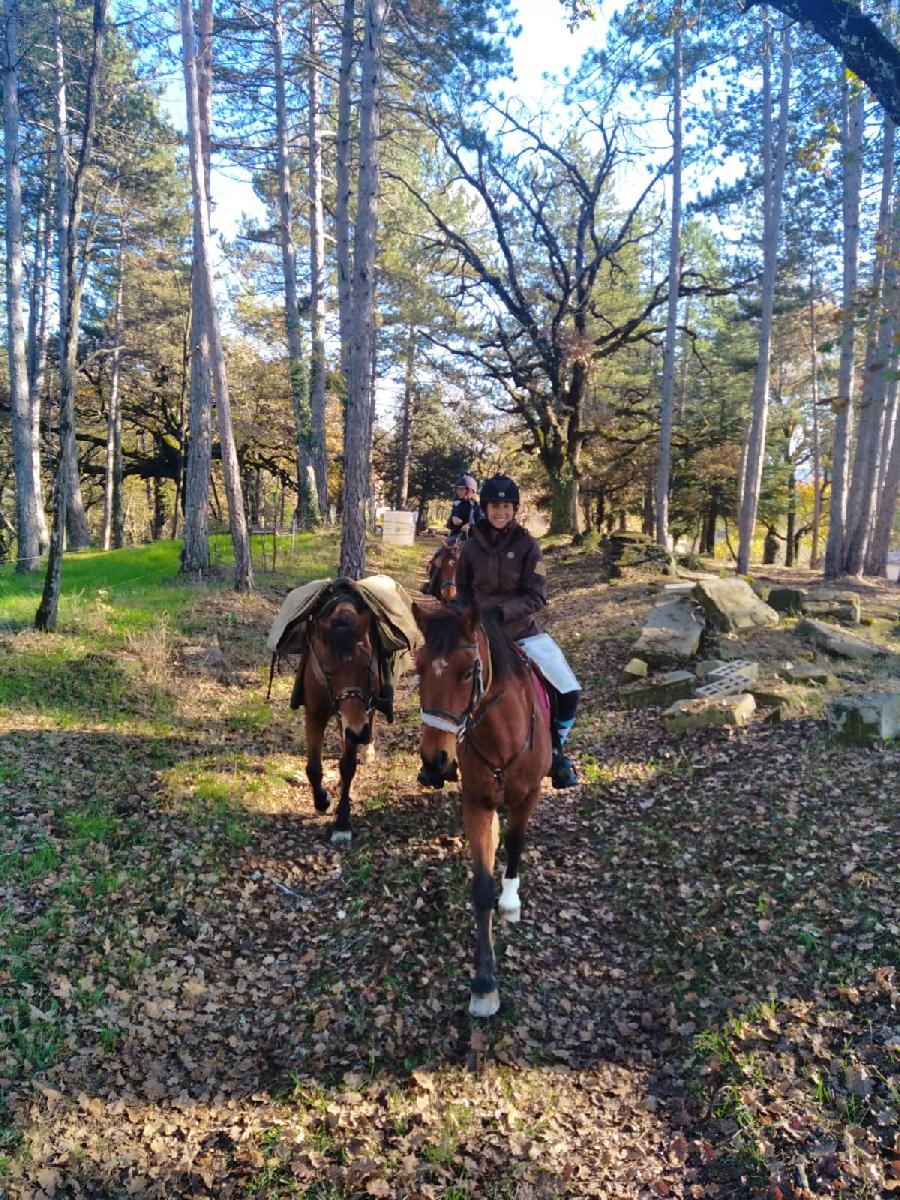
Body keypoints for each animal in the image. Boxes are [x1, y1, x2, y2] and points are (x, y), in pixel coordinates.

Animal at [294, 592, 379, 844]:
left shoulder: (359, 718)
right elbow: (313, 767)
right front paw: (322, 801)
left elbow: (348, 766)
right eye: (329, 671)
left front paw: (342, 823)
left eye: (366, 668)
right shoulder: (315, 714)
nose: (359, 732)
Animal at [415, 604, 554, 1017]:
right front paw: (484, 983)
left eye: (466, 671)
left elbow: (516, 842)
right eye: (419, 668)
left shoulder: (529, 794)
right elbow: (480, 885)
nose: (435, 760)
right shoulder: (476, 803)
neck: (500, 735)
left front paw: (509, 902)